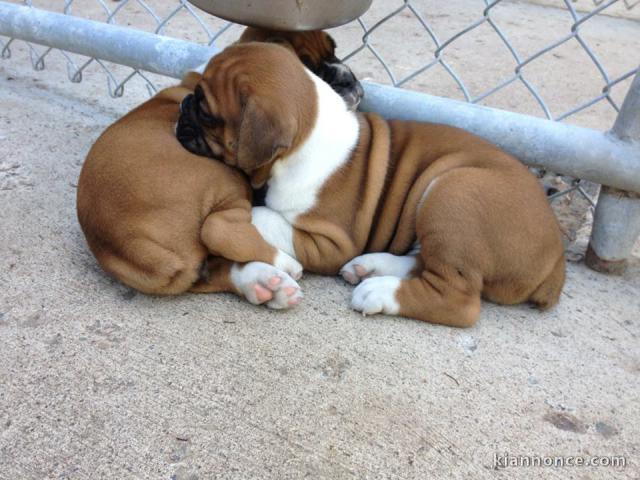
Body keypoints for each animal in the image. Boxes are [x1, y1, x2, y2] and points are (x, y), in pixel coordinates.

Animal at [77, 73, 302, 310]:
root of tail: (129, 241)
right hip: (224, 177)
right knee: (222, 229)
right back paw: (283, 266)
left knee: (211, 269)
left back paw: (265, 283)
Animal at [176, 43, 564, 328]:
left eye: (206, 111)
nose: (183, 105)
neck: (306, 136)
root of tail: (556, 258)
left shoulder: (329, 243)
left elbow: (257, 217)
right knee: (428, 262)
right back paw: (373, 267)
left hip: (454, 190)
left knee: (459, 299)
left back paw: (379, 291)